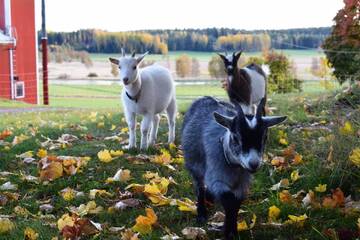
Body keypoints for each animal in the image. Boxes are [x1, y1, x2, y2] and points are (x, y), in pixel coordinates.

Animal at [183, 96, 286, 239]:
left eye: (264, 137)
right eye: (236, 137)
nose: (253, 164)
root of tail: (205, 97)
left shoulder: (241, 183)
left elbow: (235, 204)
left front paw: (233, 231)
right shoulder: (217, 177)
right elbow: (228, 201)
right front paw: (228, 233)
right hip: (195, 165)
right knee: (200, 187)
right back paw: (202, 213)